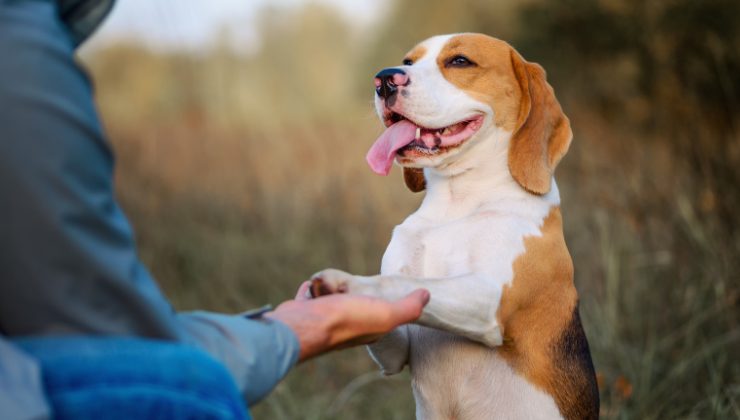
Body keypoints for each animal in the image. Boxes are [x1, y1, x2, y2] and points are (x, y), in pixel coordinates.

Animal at [310, 33, 600, 420]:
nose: (384, 79)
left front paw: (349, 284)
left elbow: (403, 282)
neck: (457, 203)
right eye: (408, 61)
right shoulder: (397, 351)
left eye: (460, 61)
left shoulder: (489, 299)